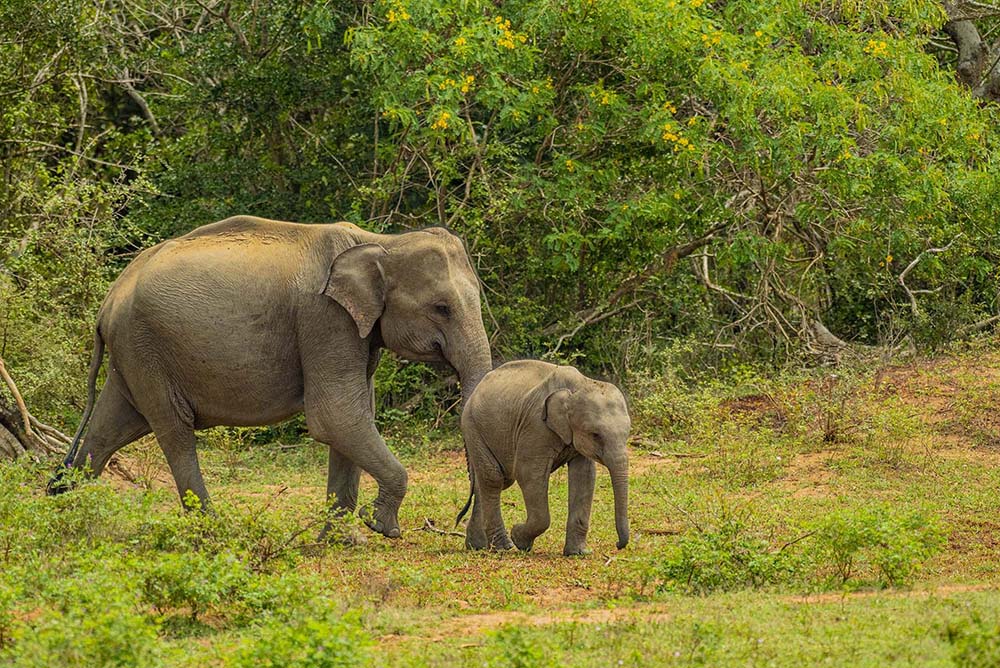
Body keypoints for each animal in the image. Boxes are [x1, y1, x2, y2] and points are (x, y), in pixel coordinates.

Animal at [48, 217, 494, 540]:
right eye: (441, 308)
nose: (459, 522)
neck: (381, 241)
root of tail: (108, 301)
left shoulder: (354, 332)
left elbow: (353, 418)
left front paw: (342, 541)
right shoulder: (324, 321)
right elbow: (335, 417)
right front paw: (383, 528)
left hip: (133, 356)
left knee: (109, 428)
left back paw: (64, 511)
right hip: (146, 349)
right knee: (175, 433)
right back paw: (214, 532)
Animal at [458, 360, 628, 552]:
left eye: (627, 434)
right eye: (595, 435)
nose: (618, 545)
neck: (580, 385)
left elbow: (584, 476)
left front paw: (578, 553)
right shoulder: (535, 426)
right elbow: (528, 474)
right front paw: (519, 539)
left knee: (492, 481)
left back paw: (478, 546)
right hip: (472, 427)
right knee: (494, 479)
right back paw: (504, 547)